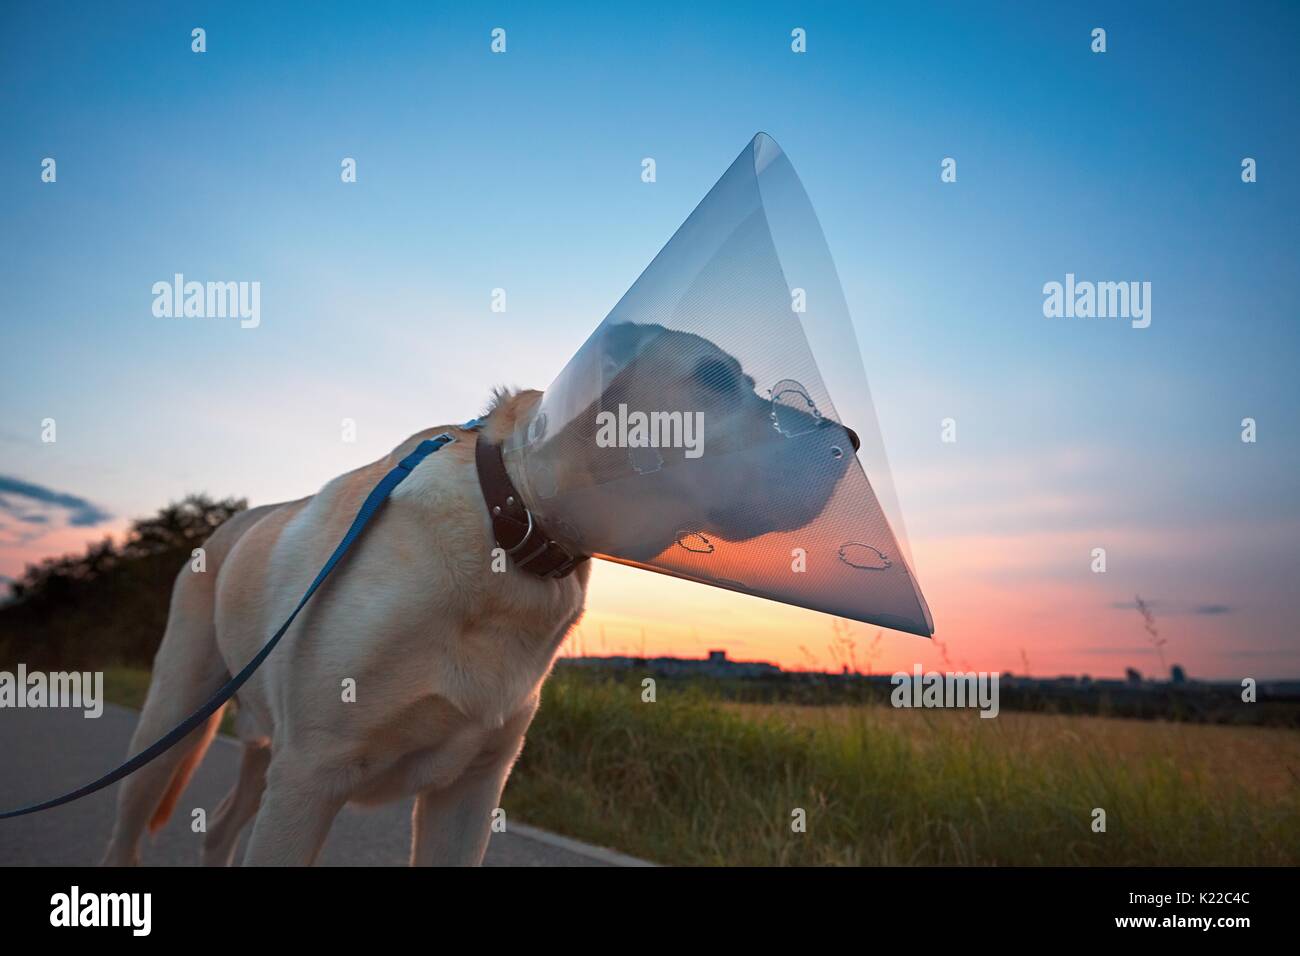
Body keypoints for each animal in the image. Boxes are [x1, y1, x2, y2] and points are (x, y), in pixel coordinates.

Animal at [101, 390, 590, 868]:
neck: (506, 522)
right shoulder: (308, 776)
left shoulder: (471, 789)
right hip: (172, 723)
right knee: (126, 835)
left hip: (263, 749)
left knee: (220, 824)